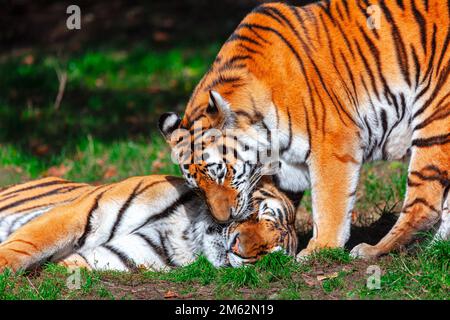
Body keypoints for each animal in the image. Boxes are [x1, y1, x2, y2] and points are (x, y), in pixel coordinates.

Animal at [0, 174, 298, 272]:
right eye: (259, 212)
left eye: (267, 255)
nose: (238, 247)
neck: (185, 234)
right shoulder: (80, 213)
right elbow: (26, 246)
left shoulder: (104, 256)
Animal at [159, 0, 450, 258]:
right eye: (197, 188)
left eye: (221, 174)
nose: (222, 220)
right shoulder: (285, 170)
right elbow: (276, 205)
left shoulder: (333, 144)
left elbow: (329, 203)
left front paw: (321, 248)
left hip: (435, 120)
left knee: (425, 205)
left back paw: (373, 251)